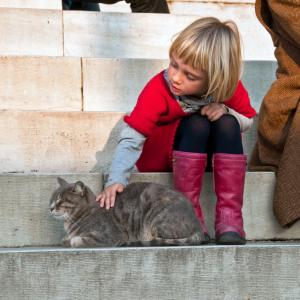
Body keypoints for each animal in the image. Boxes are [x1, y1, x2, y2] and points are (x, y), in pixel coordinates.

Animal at [49, 177, 204, 247]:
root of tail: (198, 226)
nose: (50, 208)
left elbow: (76, 240)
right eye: (51, 199)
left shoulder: (109, 237)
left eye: (60, 200)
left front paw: (70, 240)